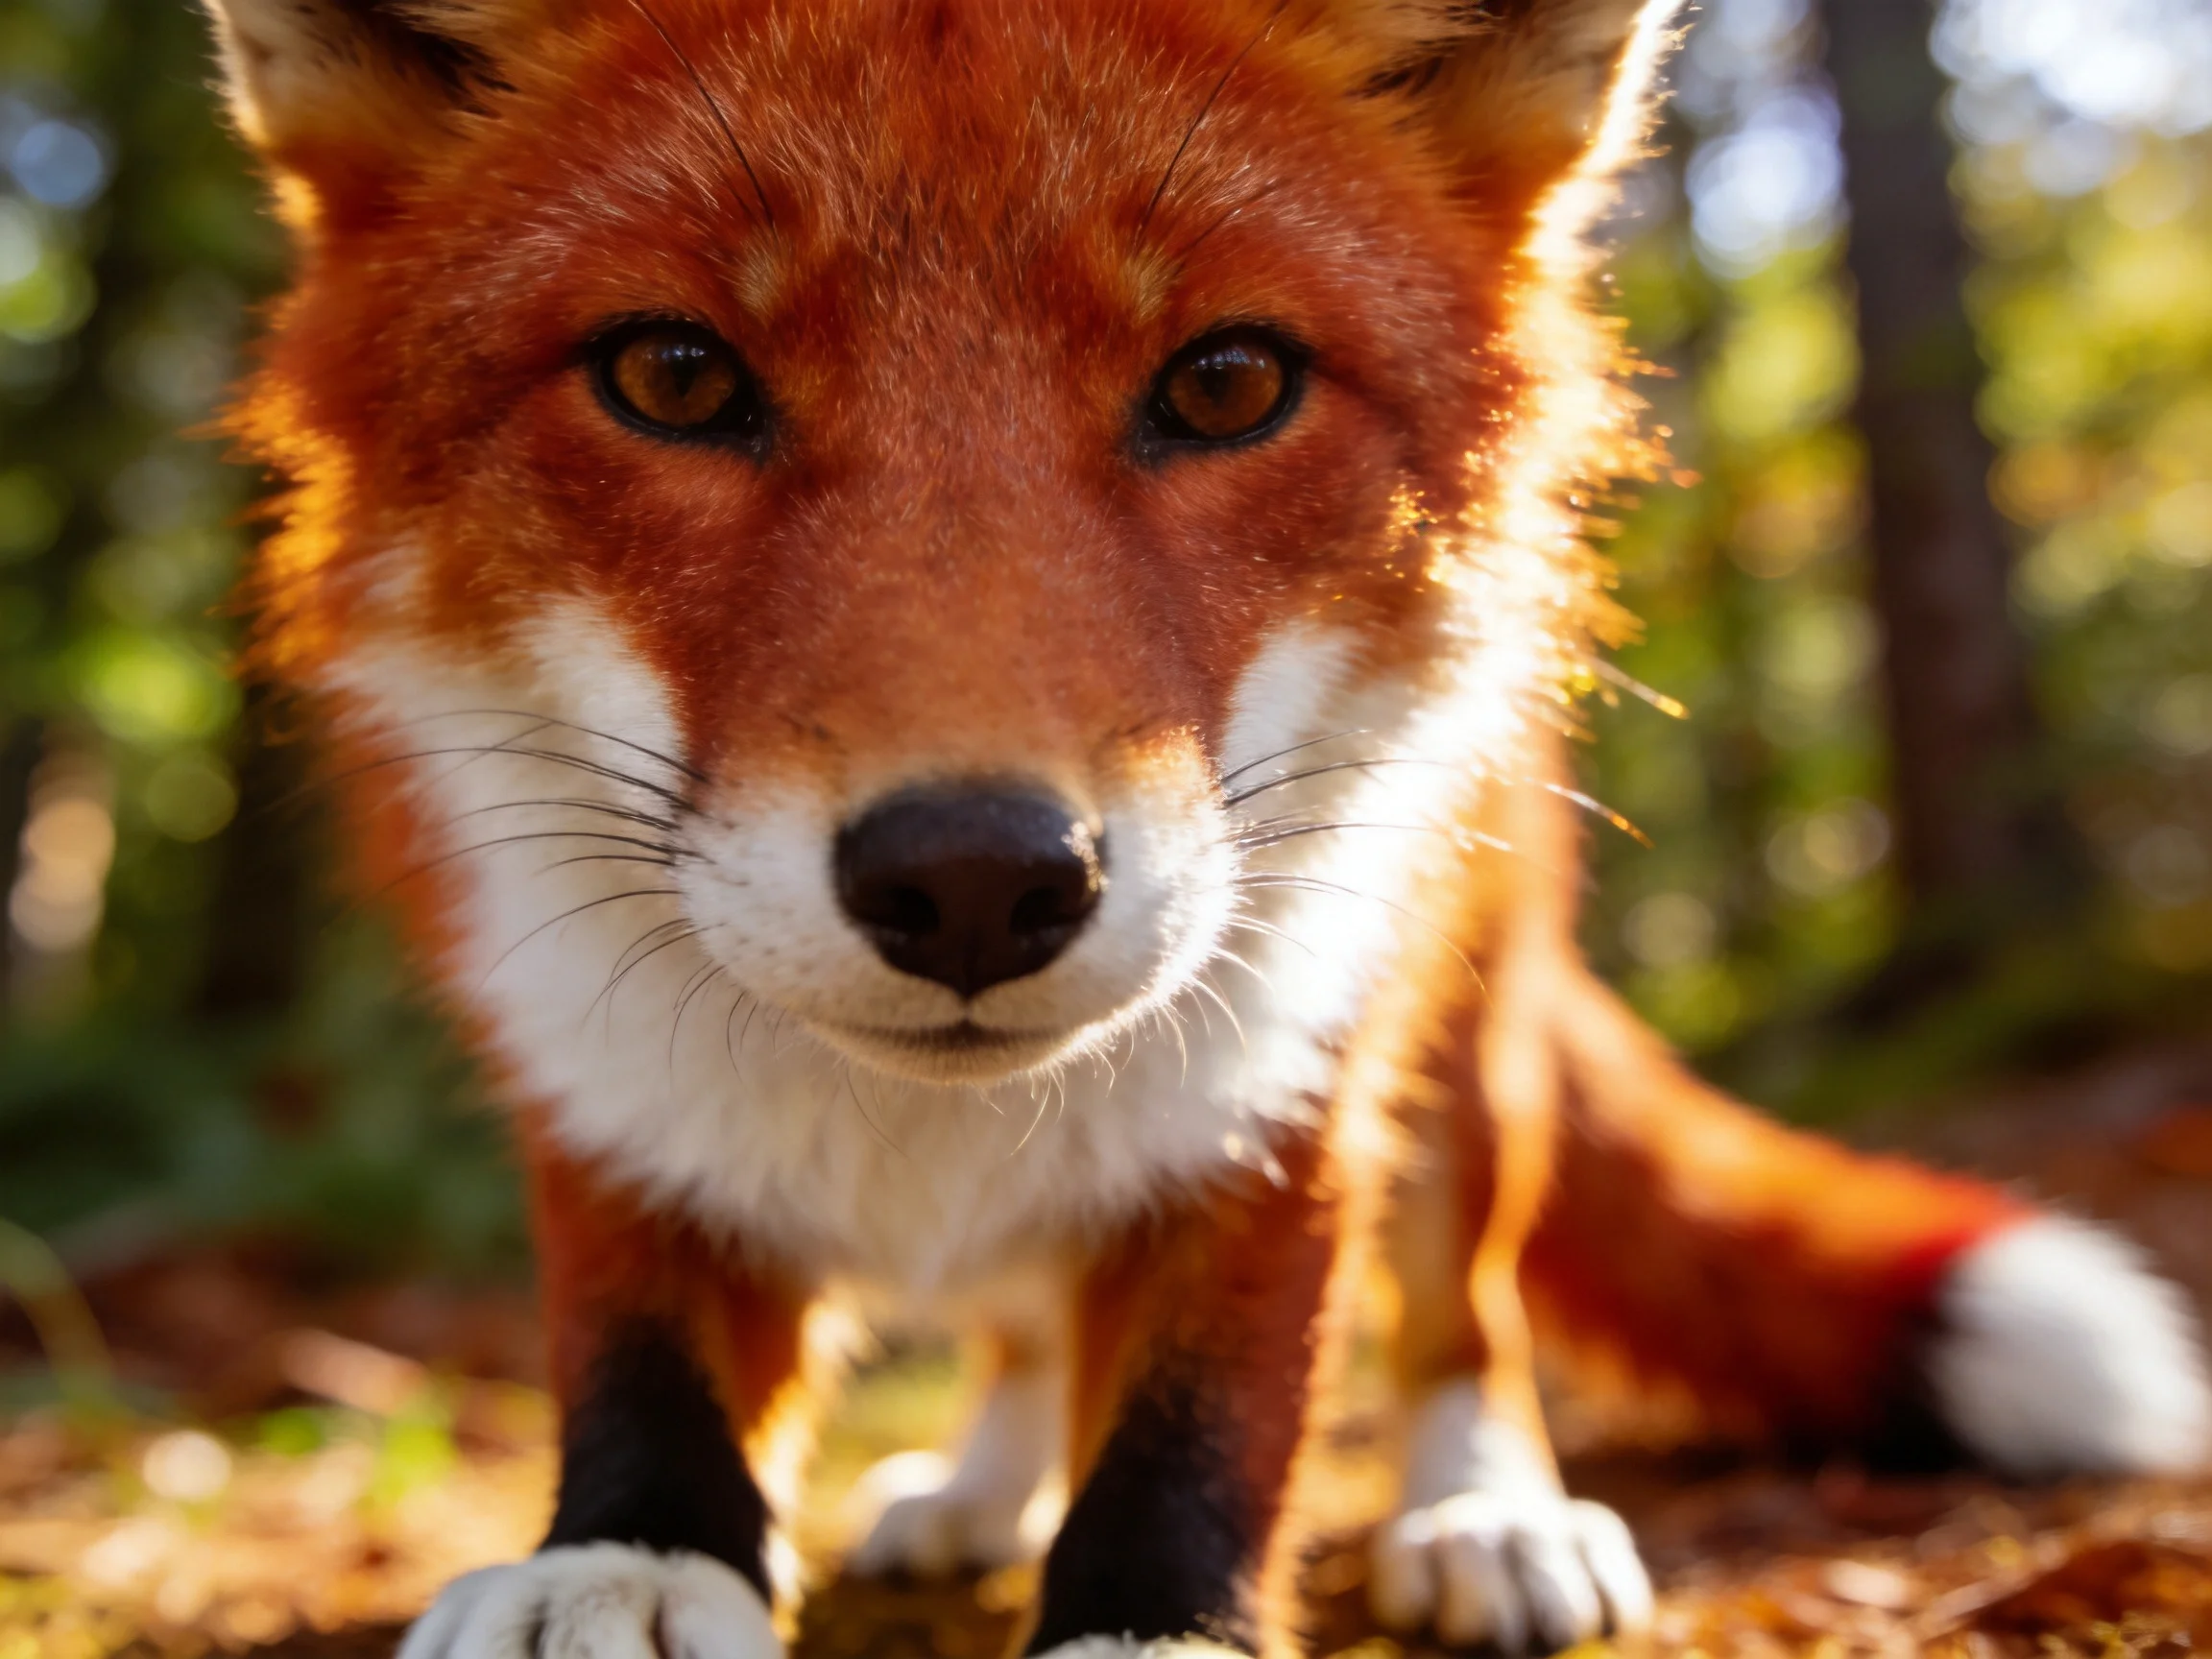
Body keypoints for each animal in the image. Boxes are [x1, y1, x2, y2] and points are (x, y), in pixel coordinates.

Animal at [191, 0, 2211, 1655]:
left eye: (1227, 382)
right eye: (671, 375)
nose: (975, 880)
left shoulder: (1283, 1071)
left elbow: (1207, 1407)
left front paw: (1153, 1613)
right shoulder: (596, 1072)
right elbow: (644, 1342)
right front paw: (630, 1553)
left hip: (1467, 1036)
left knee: (1461, 1309)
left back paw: (1480, 1511)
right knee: (1025, 1324)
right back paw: (973, 1491)